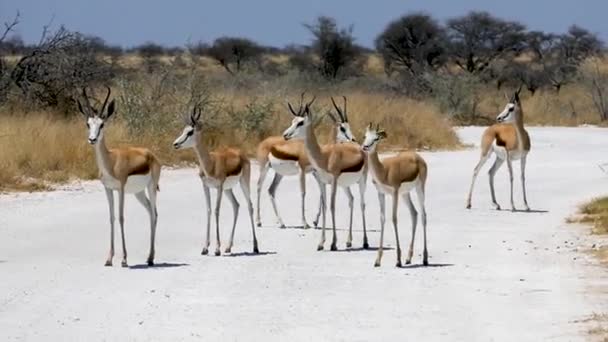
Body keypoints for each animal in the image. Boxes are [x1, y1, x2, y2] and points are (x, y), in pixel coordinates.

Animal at [78, 86, 162, 268]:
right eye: (88, 124)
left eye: (102, 124)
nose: (92, 139)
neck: (111, 161)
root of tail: (151, 154)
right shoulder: (108, 189)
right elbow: (112, 218)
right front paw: (109, 259)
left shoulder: (121, 189)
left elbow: (121, 217)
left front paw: (124, 259)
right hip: (138, 193)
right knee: (150, 212)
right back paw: (149, 257)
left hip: (151, 187)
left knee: (154, 213)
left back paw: (151, 258)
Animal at [172, 105, 258, 255]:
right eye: (183, 130)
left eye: (190, 132)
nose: (175, 144)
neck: (210, 164)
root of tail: (240, 153)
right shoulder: (205, 186)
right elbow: (209, 210)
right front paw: (205, 248)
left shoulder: (219, 187)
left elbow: (217, 210)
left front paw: (217, 249)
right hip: (228, 189)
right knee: (236, 206)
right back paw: (228, 247)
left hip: (243, 183)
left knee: (250, 206)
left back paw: (255, 246)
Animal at [282, 97, 368, 250]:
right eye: (293, 121)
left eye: (301, 122)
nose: (285, 135)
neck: (324, 156)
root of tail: (360, 148)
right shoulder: (322, 182)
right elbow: (325, 205)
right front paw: (321, 243)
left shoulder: (333, 181)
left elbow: (332, 206)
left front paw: (333, 243)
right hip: (345, 185)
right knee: (351, 200)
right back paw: (349, 241)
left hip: (362, 180)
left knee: (362, 204)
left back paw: (365, 242)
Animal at [364, 123, 430, 268]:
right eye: (365, 136)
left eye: (376, 138)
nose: (365, 147)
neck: (384, 171)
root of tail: (417, 157)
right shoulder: (381, 193)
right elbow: (382, 219)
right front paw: (377, 260)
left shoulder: (394, 193)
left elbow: (394, 218)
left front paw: (398, 260)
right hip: (405, 194)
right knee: (414, 213)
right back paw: (409, 258)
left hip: (419, 188)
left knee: (423, 215)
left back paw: (425, 259)